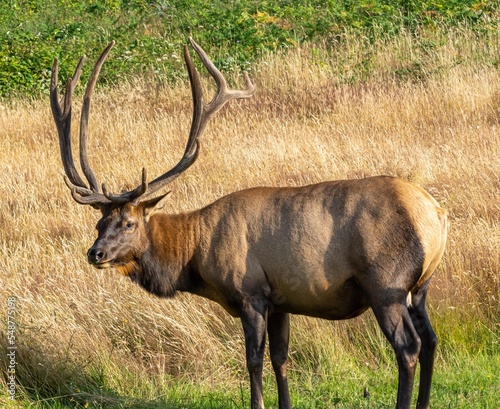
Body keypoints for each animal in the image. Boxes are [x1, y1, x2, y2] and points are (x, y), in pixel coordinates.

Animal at [49, 39, 450, 408]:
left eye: (129, 222)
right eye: (99, 223)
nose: (96, 253)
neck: (196, 253)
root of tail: (436, 214)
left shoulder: (251, 292)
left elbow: (254, 361)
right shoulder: (282, 300)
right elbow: (281, 360)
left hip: (386, 285)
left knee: (408, 347)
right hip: (421, 287)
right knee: (431, 341)